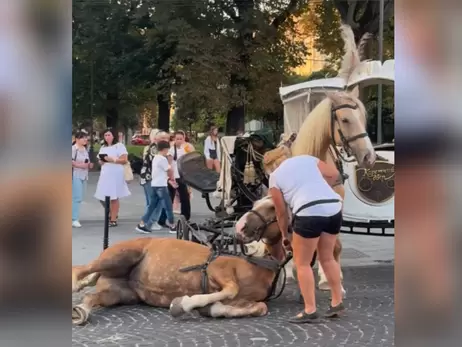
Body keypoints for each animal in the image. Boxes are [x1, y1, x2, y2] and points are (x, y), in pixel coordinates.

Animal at [71, 238, 288, 324]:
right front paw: (184, 304)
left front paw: (211, 309)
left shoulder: (242, 300)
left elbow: (260, 308)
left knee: (91, 297)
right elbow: (231, 289)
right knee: (81, 271)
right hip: (120, 256)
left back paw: (81, 311)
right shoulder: (218, 269)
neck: (259, 265)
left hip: (119, 294)